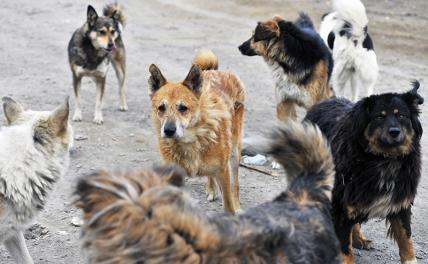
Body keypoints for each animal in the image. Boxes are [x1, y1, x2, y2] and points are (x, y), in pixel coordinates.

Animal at [149, 49, 246, 213]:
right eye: (161, 108)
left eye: (183, 108)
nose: (168, 130)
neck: (192, 140)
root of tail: (215, 71)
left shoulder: (223, 171)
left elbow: (228, 204)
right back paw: (211, 189)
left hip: (234, 152)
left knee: (236, 184)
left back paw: (238, 205)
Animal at [306, 81, 422, 262]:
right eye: (379, 116)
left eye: (402, 115)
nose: (394, 132)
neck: (384, 159)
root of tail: (325, 101)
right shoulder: (341, 206)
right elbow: (344, 247)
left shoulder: (400, 201)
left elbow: (406, 238)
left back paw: (359, 239)